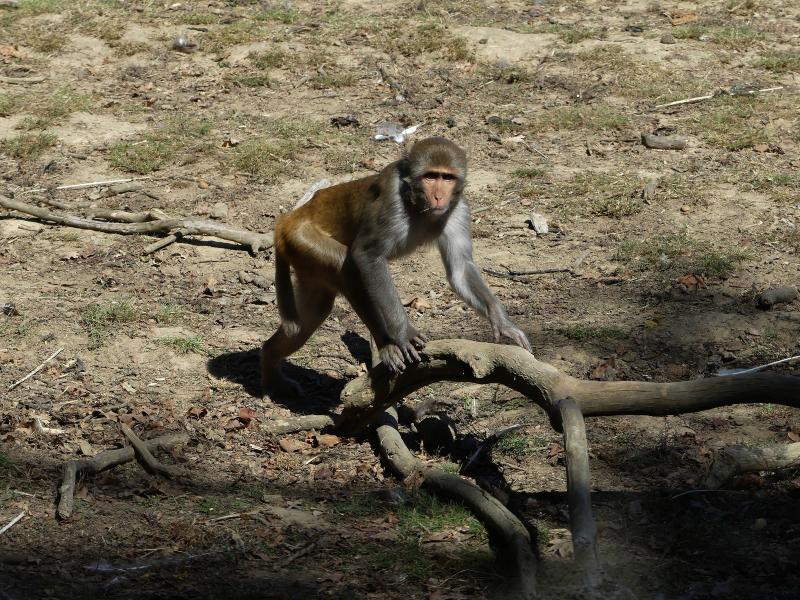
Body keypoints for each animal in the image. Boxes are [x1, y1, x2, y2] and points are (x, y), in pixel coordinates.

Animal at [261, 136, 531, 397]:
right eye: (430, 176)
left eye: (447, 177)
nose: (438, 196)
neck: (417, 204)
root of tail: (287, 220)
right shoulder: (391, 199)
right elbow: (367, 256)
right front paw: (404, 334)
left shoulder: (459, 209)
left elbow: (460, 271)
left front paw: (502, 323)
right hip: (303, 238)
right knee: (346, 265)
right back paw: (386, 344)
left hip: (304, 258)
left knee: (308, 317)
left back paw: (270, 359)